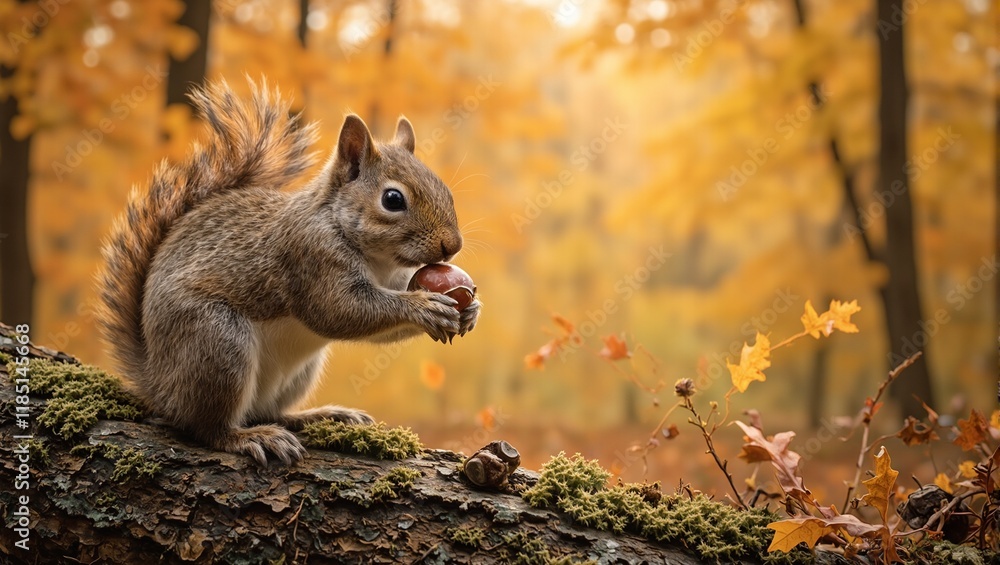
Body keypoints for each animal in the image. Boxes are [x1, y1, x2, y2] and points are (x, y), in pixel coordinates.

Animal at [96, 79, 480, 465]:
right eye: (393, 199)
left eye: (444, 189)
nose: (452, 244)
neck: (379, 260)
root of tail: (157, 381)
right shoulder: (310, 258)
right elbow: (341, 312)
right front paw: (423, 307)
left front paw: (471, 310)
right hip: (217, 342)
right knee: (204, 426)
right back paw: (250, 437)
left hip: (295, 372)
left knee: (267, 411)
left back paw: (320, 415)